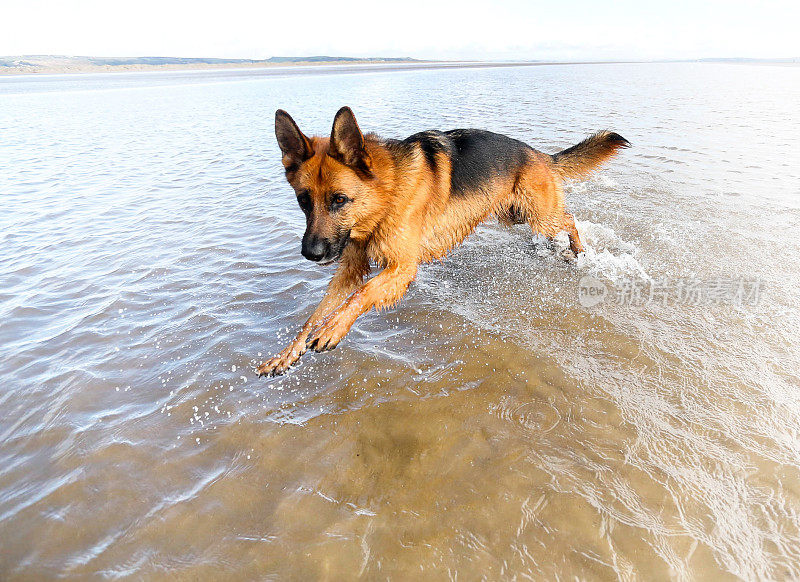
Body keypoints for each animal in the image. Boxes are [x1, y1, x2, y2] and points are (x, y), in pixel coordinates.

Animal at [256, 106, 632, 376]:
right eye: (304, 201)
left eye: (339, 200)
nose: (311, 254)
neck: (386, 192)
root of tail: (539, 154)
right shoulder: (350, 267)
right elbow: (314, 314)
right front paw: (286, 354)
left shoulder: (402, 267)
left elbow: (360, 295)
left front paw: (333, 330)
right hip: (516, 216)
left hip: (539, 215)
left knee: (570, 219)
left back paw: (578, 252)